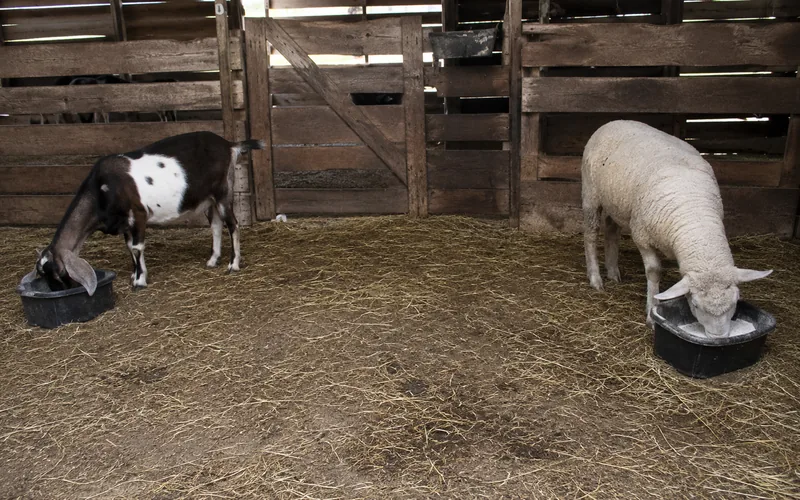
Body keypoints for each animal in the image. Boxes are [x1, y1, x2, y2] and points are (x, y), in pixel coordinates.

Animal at [20, 131, 264, 295]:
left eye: (56, 272)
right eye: (42, 273)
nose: (58, 291)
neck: (102, 190)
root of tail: (230, 145)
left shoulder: (137, 214)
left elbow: (137, 247)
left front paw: (138, 282)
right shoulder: (125, 224)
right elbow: (130, 247)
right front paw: (137, 274)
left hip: (223, 192)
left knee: (232, 224)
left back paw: (233, 264)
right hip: (208, 198)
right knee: (215, 224)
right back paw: (213, 259)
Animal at [581, 120, 771, 337]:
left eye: (736, 301)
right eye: (695, 305)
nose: (719, 337)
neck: (694, 217)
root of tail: (613, 122)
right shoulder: (642, 236)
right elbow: (654, 271)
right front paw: (651, 313)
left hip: (616, 203)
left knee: (611, 229)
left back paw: (613, 272)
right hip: (591, 194)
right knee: (590, 234)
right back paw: (595, 278)